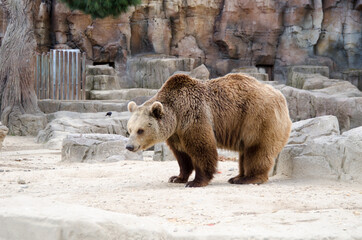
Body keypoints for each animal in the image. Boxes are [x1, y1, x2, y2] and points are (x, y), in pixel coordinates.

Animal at [126, 73, 290, 188]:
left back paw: (248, 178)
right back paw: (236, 177)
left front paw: (195, 182)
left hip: (258, 118)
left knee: (257, 149)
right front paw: (177, 177)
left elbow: (202, 148)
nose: (129, 146)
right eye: (129, 129)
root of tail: (281, 97)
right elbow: (182, 156)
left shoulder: (193, 116)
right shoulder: (176, 133)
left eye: (140, 130)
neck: (176, 115)